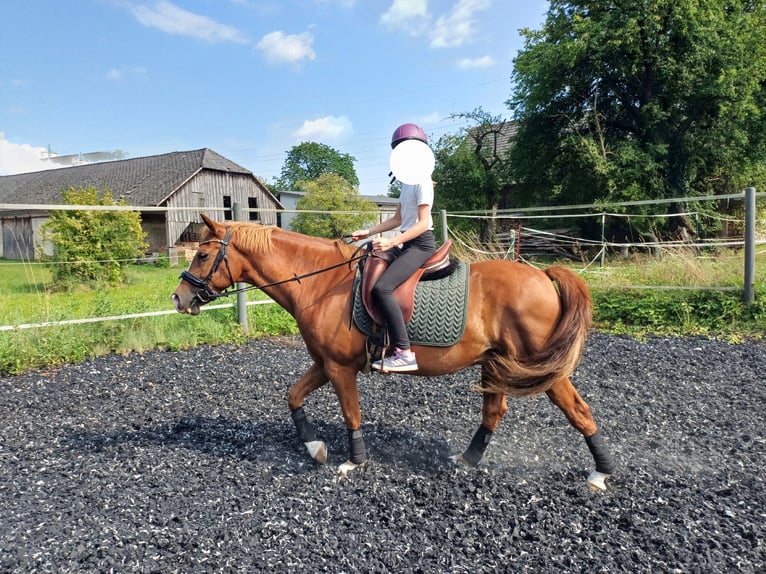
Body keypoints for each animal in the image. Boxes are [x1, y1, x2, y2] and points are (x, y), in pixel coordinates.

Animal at [172, 215, 616, 490]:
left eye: (203, 254)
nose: (178, 298)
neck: (322, 283)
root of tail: (542, 275)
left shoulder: (340, 368)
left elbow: (351, 414)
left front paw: (354, 461)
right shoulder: (324, 363)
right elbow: (293, 396)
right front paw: (315, 448)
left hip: (542, 369)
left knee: (578, 411)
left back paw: (601, 473)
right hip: (495, 363)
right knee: (494, 412)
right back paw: (467, 460)